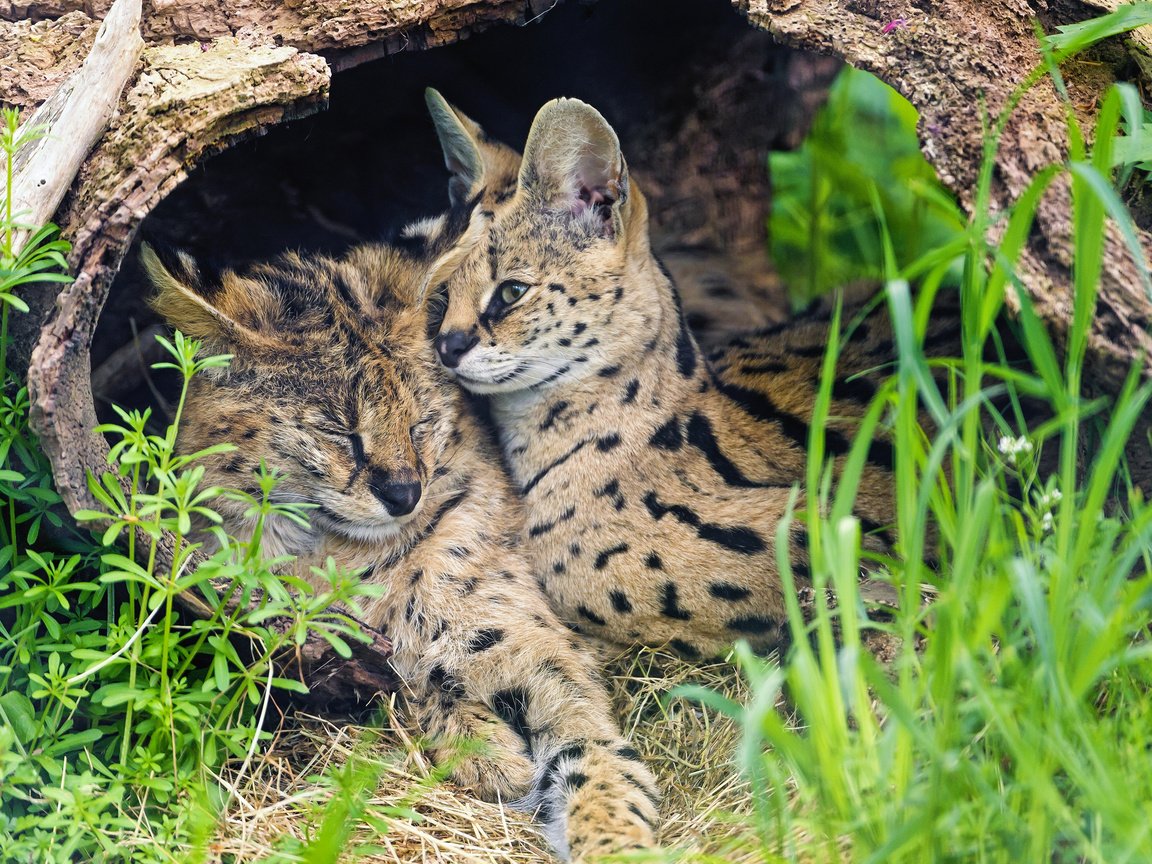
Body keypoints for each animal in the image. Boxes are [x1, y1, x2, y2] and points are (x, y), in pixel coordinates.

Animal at [139, 223, 658, 861]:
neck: (339, 549)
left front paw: (614, 837)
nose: (405, 493)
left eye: (420, 423)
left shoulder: (530, 642)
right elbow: (405, 686)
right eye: (339, 433)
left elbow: (590, 743)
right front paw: (484, 748)